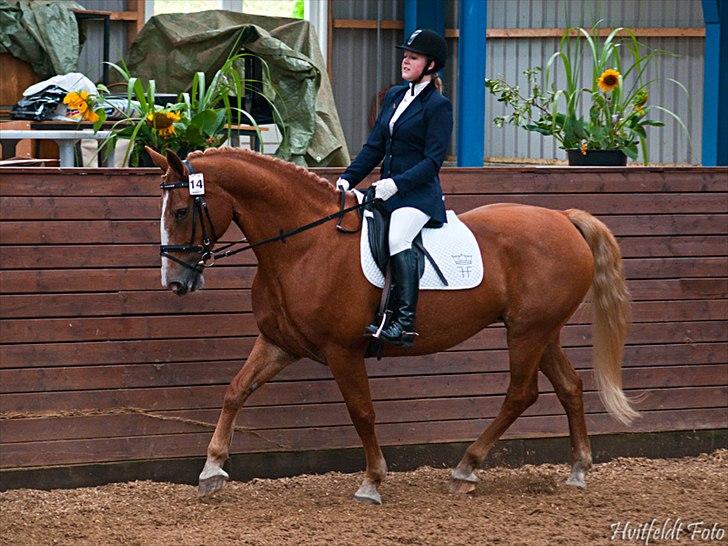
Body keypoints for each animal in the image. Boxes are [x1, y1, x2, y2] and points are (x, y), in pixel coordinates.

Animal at [149, 144, 636, 502]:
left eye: (180, 211)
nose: (174, 281)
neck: (305, 245)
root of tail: (563, 217)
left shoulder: (342, 351)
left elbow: (361, 411)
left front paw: (372, 482)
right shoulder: (279, 343)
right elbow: (236, 391)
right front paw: (212, 469)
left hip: (527, 332)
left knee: (521, 393)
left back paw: (466, 468)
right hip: (540, 331)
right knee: (569, 386)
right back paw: (576, 470)